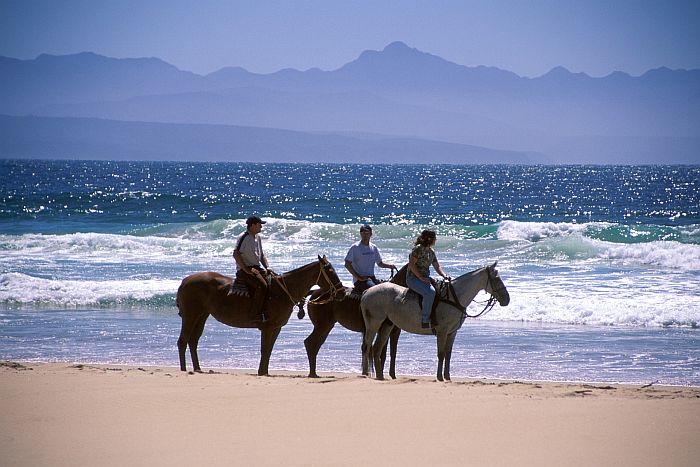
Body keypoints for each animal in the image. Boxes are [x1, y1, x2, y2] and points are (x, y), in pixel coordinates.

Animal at [176, 256, 344, 376]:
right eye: (330, 271)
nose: (342, 292)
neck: (281, 292)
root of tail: (185, 281)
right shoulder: (268, 327)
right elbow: (265, 349)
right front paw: (262, 372)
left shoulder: (276, 328)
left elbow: (269, 349)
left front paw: (264, 371)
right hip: (190, 316)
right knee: (183, 341)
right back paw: (184, 369)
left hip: (201, 316)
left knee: (193, 341)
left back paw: (197, 368)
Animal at [360, 262, 508, 382]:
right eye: (496, 278)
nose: (507, 299)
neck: (454, 298)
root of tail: (367, 291)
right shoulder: (442, 331)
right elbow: (441, 354)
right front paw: (439, 377)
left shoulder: (452, 332)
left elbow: (448, 354)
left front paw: (447, 377)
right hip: (373, 324)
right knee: (367, 347)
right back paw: (365, 374)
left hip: (387, 325)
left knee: (376, 348)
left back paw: (380, 376)